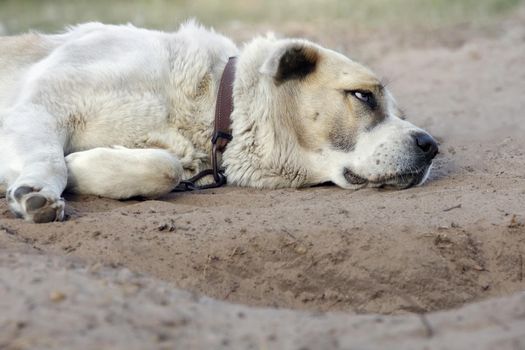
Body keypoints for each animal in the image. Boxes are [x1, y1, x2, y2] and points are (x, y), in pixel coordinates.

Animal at [0, 21, 436, 223]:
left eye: (401, 115)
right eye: (362, 96)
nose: (430, 145)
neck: (210, 100)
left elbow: (166, 167)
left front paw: (83, 167)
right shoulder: (40, 105)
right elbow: (51, 160)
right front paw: (39, 190)